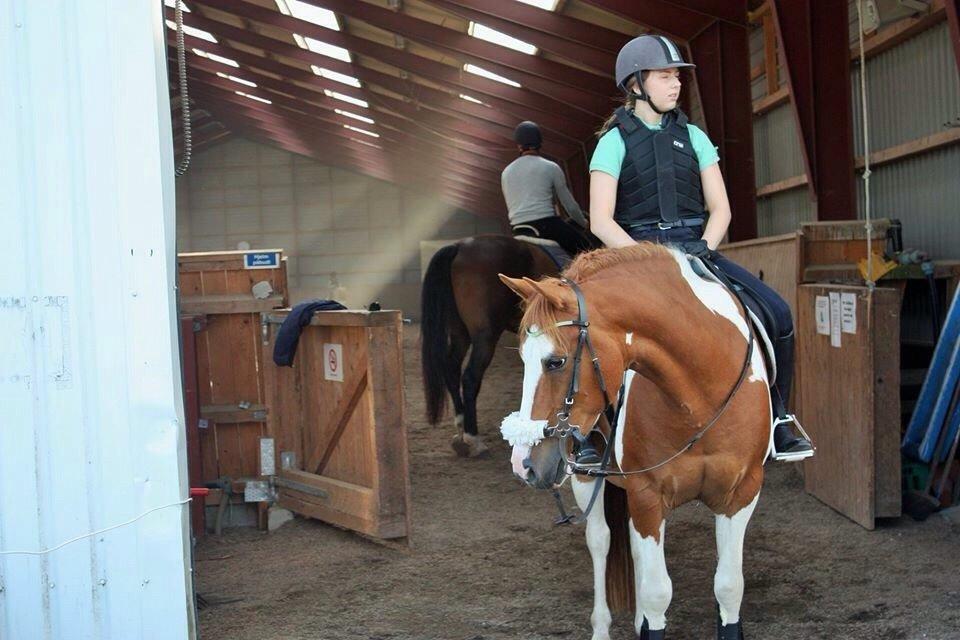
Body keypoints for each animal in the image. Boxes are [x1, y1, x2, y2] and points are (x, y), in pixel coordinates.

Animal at [418, 232, 556, 458]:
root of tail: (459, 246)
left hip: (460, 331)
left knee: (451, 368)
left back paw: (461, 428)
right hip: (485, 336)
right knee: (470, 377)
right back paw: (473, 438)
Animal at [498, 241, 768, 640]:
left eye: (555, 362)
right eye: (523, 359)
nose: (523, 465)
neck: (700, 396)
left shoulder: (742, 492)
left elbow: (729, 587)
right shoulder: (647, 494)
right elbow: (657, 593)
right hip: (586, 477)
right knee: (601, 541)